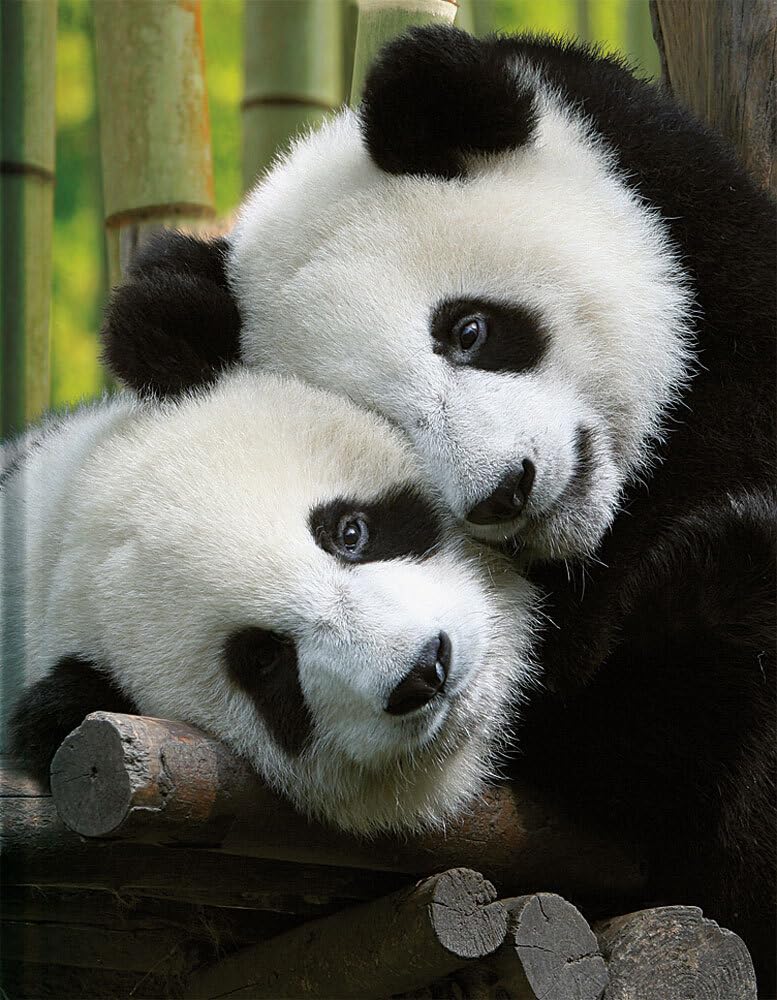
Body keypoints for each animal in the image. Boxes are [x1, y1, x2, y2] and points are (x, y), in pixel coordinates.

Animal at [99, 28, 776, 987]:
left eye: (468, 330)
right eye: (388, 429)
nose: (504, 491)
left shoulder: (706, 253)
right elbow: (611, 745)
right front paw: (719, 573)